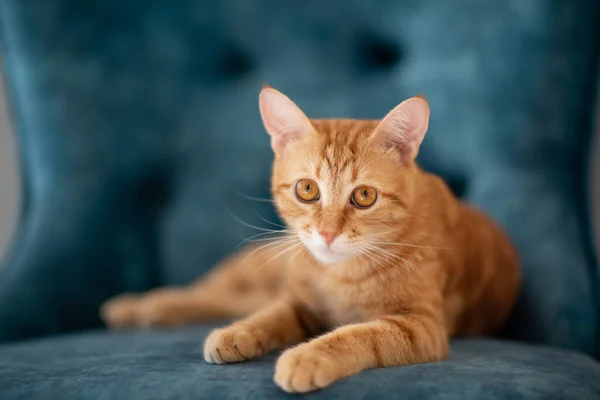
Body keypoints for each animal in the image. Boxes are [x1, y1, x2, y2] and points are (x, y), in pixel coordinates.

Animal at [102, 88, 520, 394]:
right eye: (307, 190)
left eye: (364, 196)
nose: (328, 233)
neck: (339, 276)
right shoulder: (299, 302)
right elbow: (270, 315)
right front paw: (239, 332)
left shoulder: (422, 327)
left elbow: (360, 335)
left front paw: (308, 357)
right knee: (211, 293)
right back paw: (135, 306)